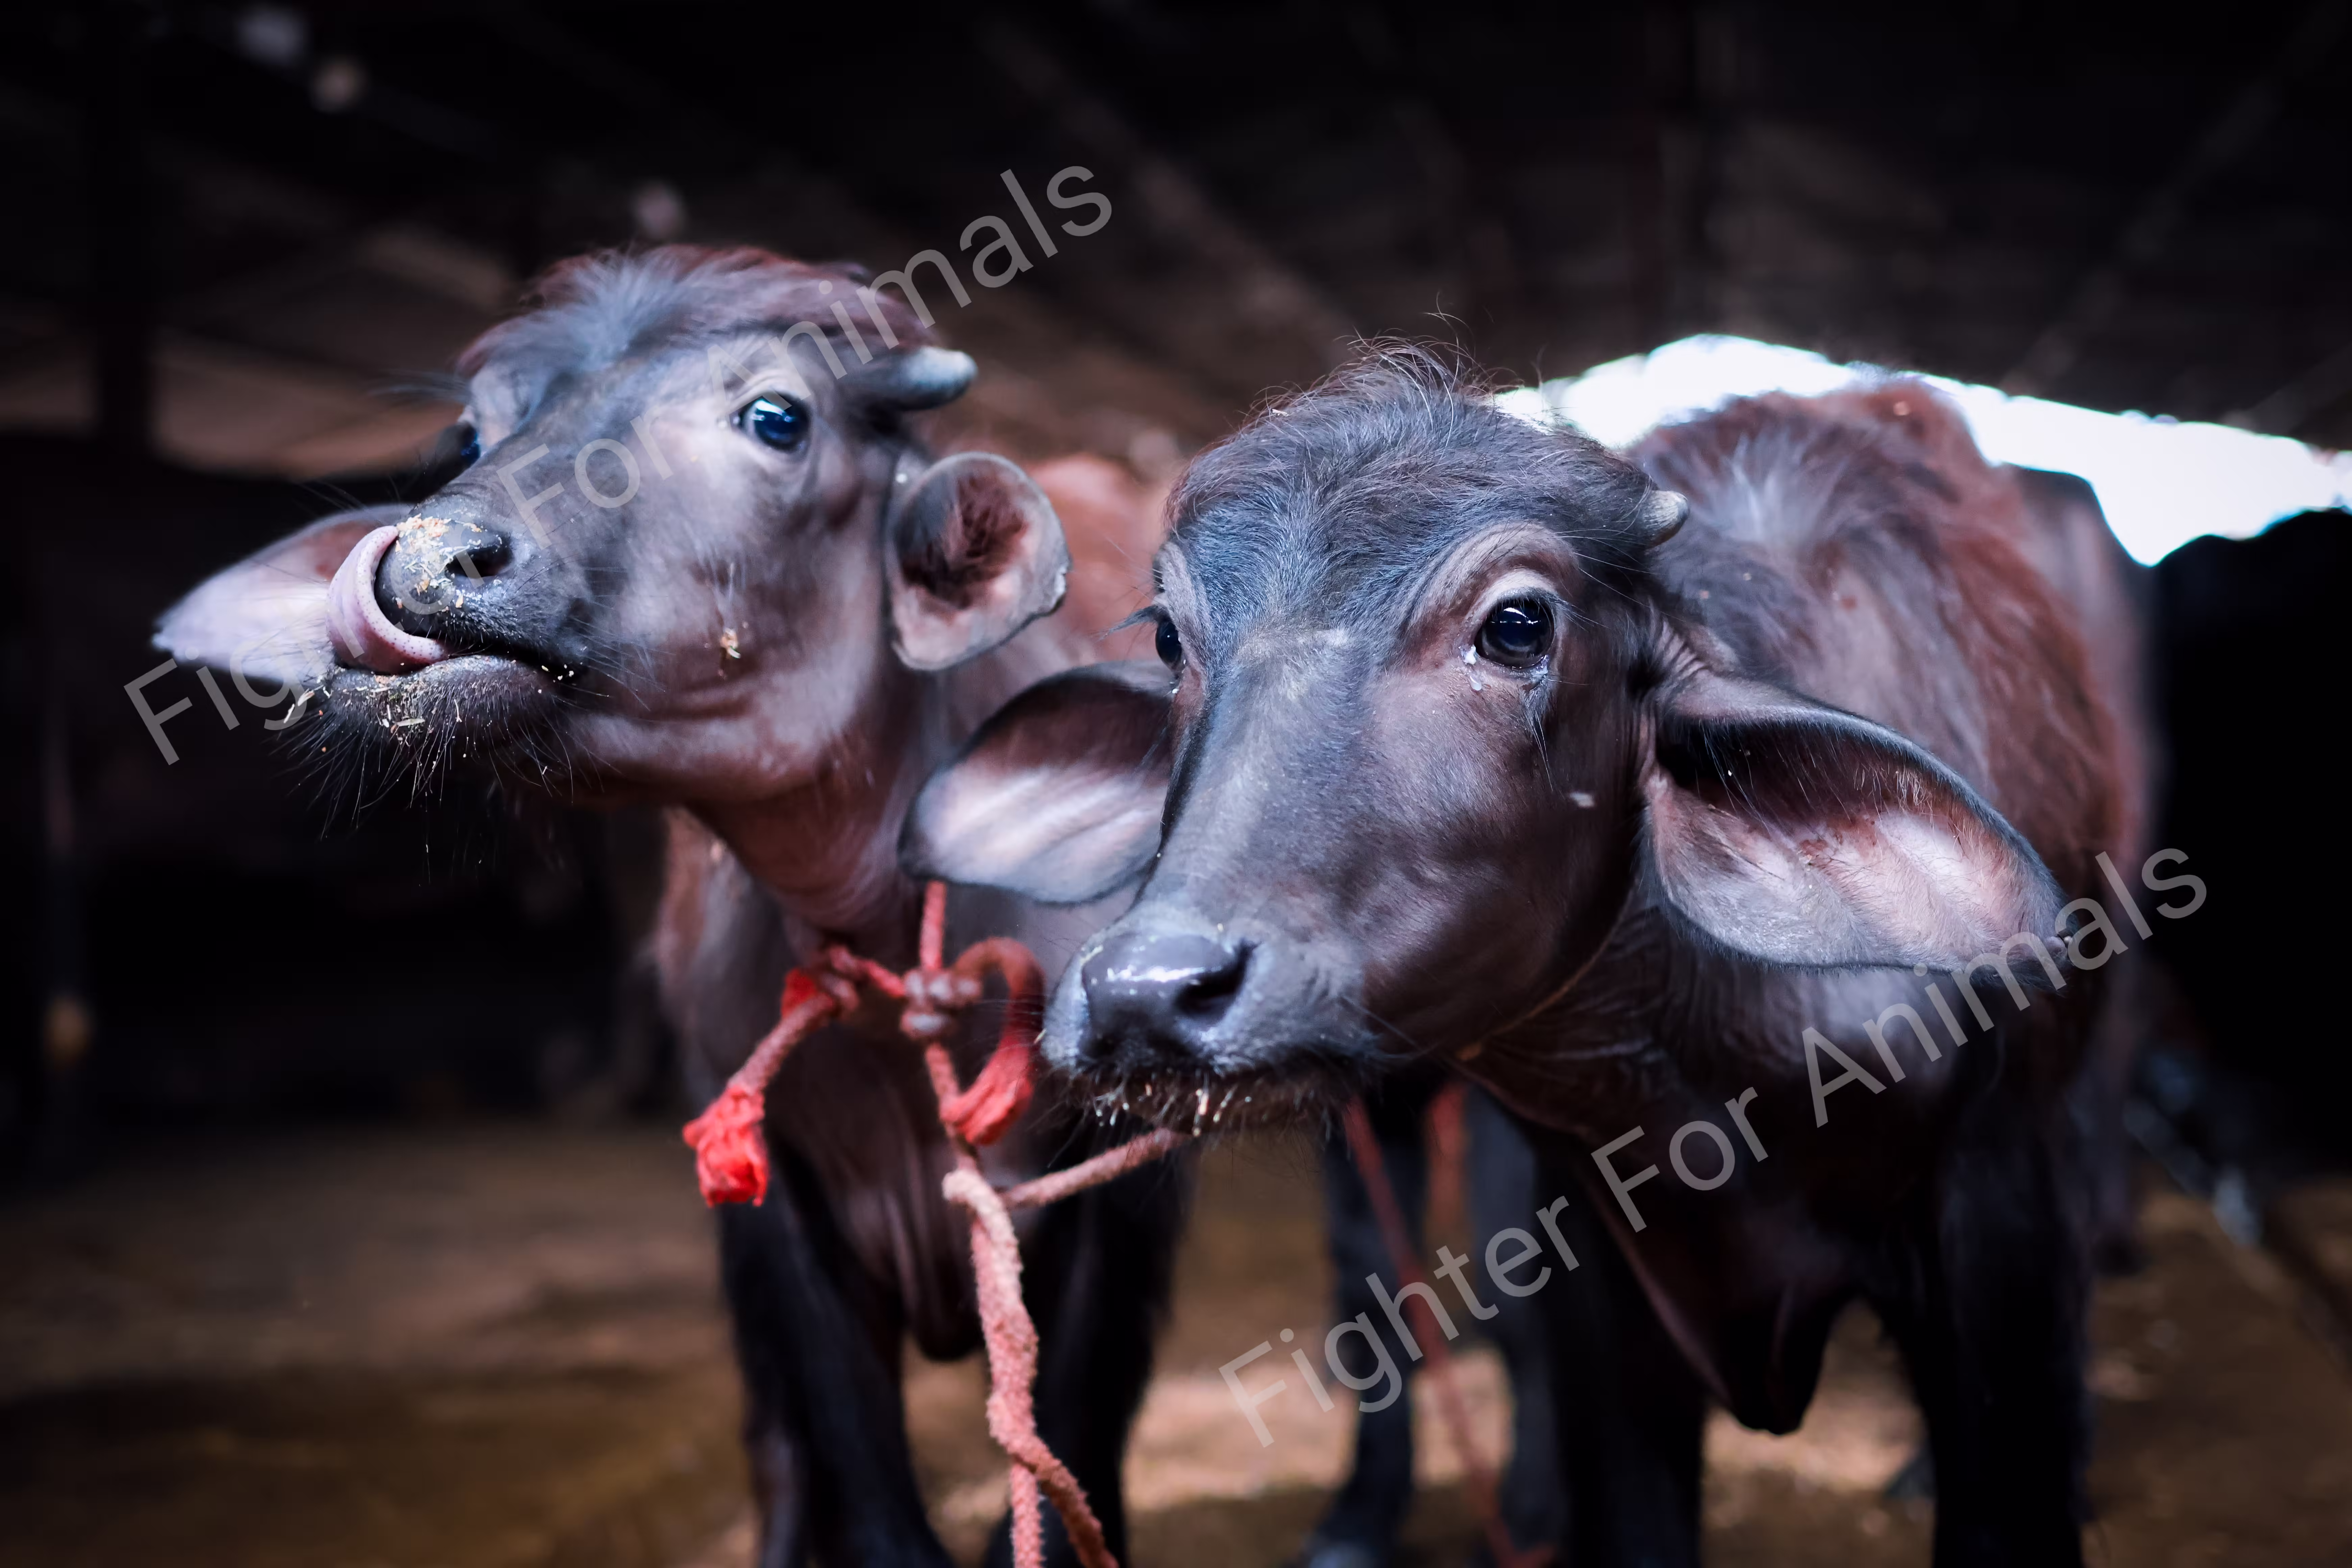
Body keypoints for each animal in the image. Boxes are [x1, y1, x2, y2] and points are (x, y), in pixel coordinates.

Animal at [153, 245, 1185, 1568]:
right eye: (478, 428)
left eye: (778, 418)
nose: (424, 561)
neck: (884, 953)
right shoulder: (769, 1212)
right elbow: (858, 1483)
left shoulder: (1117, 1192)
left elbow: (1074, 1469)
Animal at [905, 349, 2159, 1566]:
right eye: (1171, 636)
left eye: (1515, 624)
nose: (1151, 993)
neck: (1720, 1067)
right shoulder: (1598, 1275)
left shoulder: (1996, 1238)